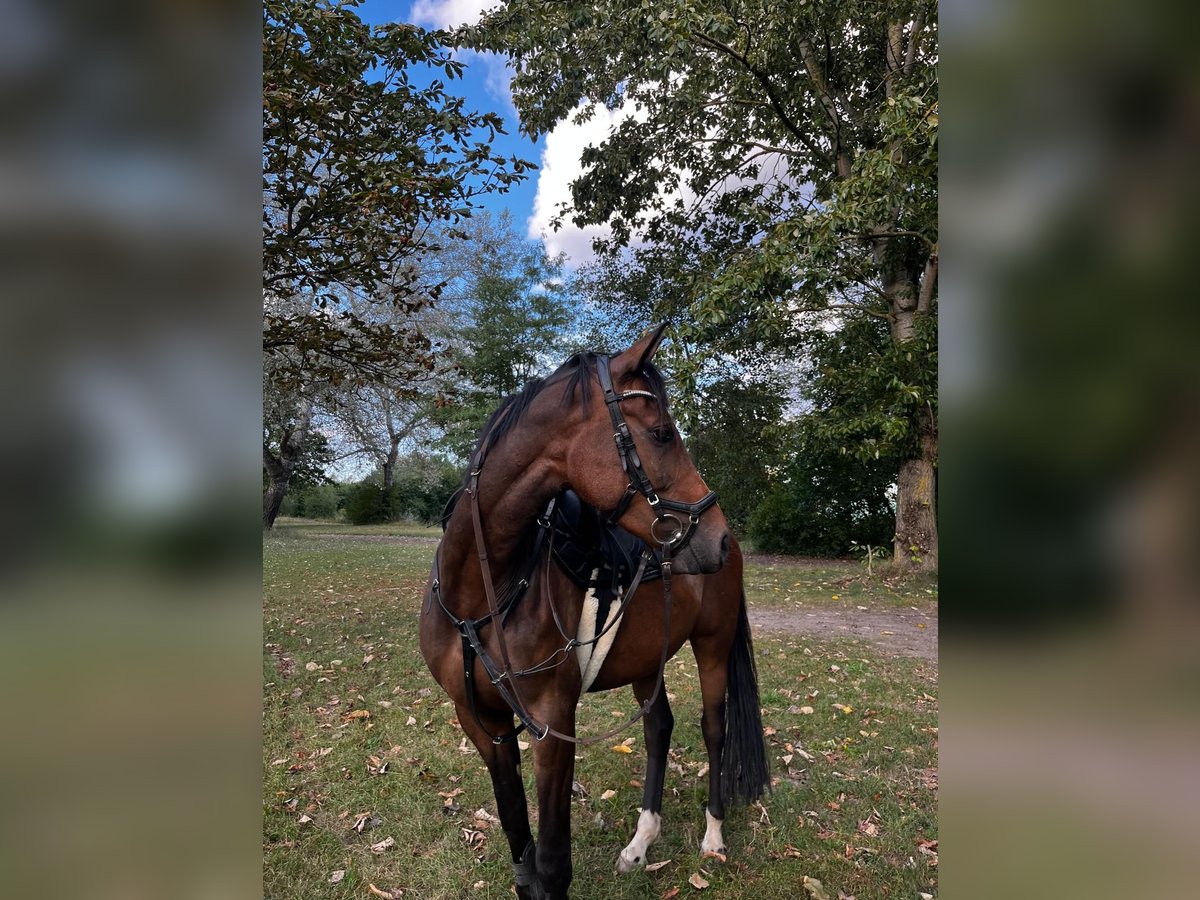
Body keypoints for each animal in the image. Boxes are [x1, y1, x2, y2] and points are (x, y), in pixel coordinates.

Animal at [422, 328, 768, 897]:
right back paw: (640, 843)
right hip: (648, 659)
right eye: (662, 433)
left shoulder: (552, 725)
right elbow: (520, 847)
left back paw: (714, 835)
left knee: (713, 728)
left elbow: (553, 863)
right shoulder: (483, 724)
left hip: (713, 646)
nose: (715, 538)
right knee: (658, 728)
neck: (483, 594)